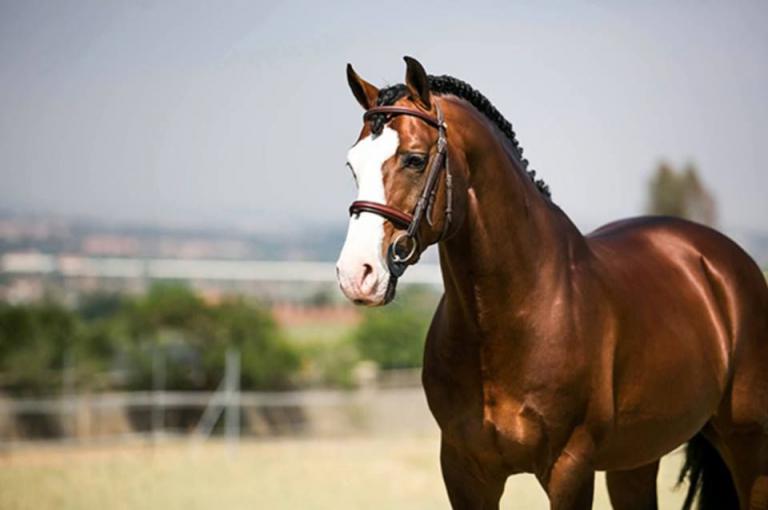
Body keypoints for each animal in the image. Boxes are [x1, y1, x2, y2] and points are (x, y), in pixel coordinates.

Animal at [335, 56, 768, 510]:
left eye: (415, 159)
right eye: (352, 164)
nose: (357, 274)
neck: (514, 314)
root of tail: (719, 260)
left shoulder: (569, 469)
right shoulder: (463, 470)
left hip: (748, 444)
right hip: (637, 459)